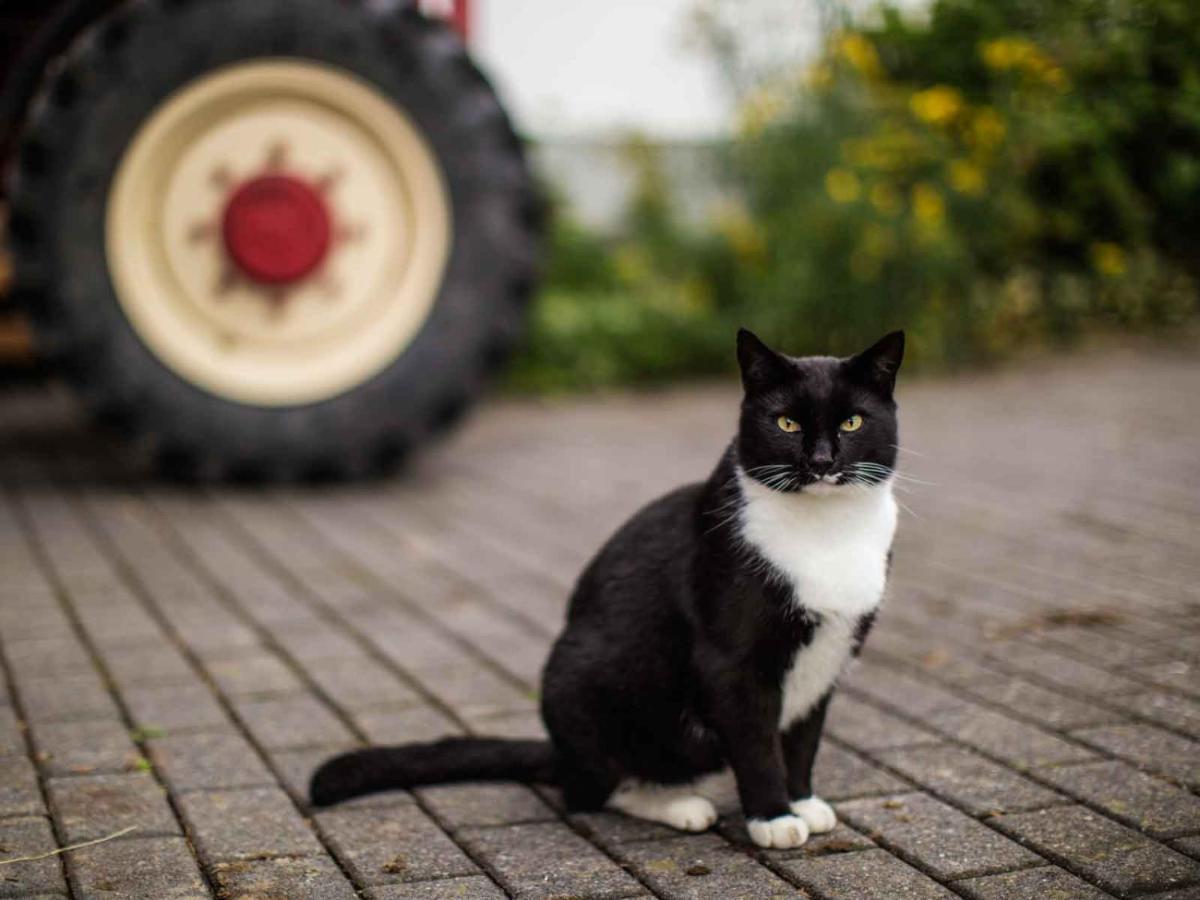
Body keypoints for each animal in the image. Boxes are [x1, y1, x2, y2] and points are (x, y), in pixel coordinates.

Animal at [314, 331, 902, 854]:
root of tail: (558, 753)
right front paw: (774, 817)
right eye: (786, 422)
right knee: (592, 791)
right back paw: (677, 803)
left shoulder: (828, 658)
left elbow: (802, 740)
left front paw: (801, 802)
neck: (825, 533)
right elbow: (758, 746)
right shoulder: (730, 662)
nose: (822, 461)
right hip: (581, 683)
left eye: (852, 421)